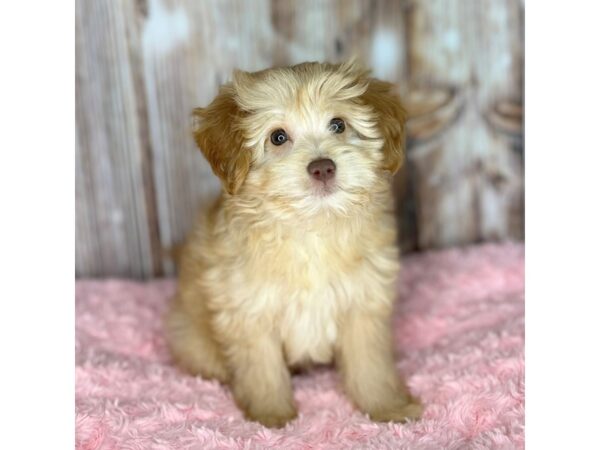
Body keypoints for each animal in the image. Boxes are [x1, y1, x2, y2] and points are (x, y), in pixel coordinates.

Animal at [165, 60, 422, 428]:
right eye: (278, 137)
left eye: (338, 124)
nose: (323, 167)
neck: (310, 225)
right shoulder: (249, 310)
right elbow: (262, 368)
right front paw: (271, 417)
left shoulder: (363, 302)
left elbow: (370, 363)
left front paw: (389, 408)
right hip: (194, 337)